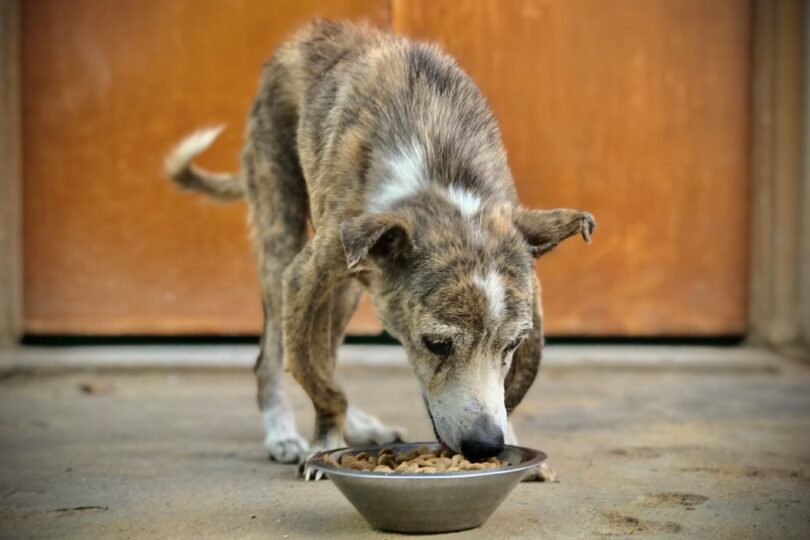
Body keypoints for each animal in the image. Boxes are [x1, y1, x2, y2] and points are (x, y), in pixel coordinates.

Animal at [166, 20, 592, 480]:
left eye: (512, 345)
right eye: (436, 344)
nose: (485, 447)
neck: (442, 176)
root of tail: (310, 31)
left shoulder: (530, 294)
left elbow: (512, 387)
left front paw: (515, 446)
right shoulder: (303, 276)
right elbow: (317, 378)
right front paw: (323, 447)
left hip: (350, 285)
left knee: (328, 347)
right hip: (281, 234)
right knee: (275, 357)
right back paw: (283, 433)